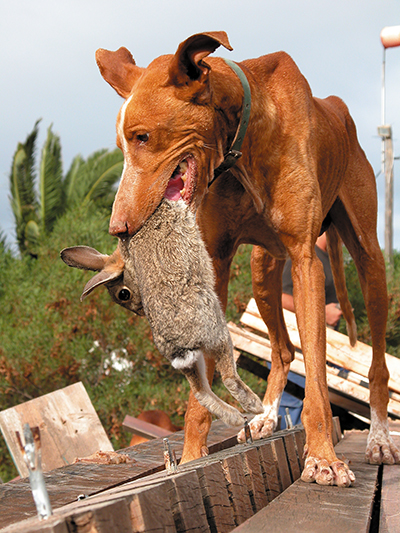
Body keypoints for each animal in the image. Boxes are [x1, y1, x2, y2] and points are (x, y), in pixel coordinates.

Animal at [61, 197, 264, 426]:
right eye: (124, 294)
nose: (141, 311)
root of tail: (177, 344)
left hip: (191, 360)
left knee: (200, 393)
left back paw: (235, 417)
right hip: (217, 333)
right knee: (227, 377)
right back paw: (253, 405)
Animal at [94, 31, 400, 484]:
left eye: (143, 137)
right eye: (121, 144)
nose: (119, 228)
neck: (243, 137)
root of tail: (338, 108)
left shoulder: (306, 261)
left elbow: (317, 379)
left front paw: (323, 458)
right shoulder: (217, 264)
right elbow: (200, 396)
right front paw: (191, 457)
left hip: (369, 261)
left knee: (376, 364)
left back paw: (379, 438)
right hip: (263, 274)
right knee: (283, 350)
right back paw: (266, 417)